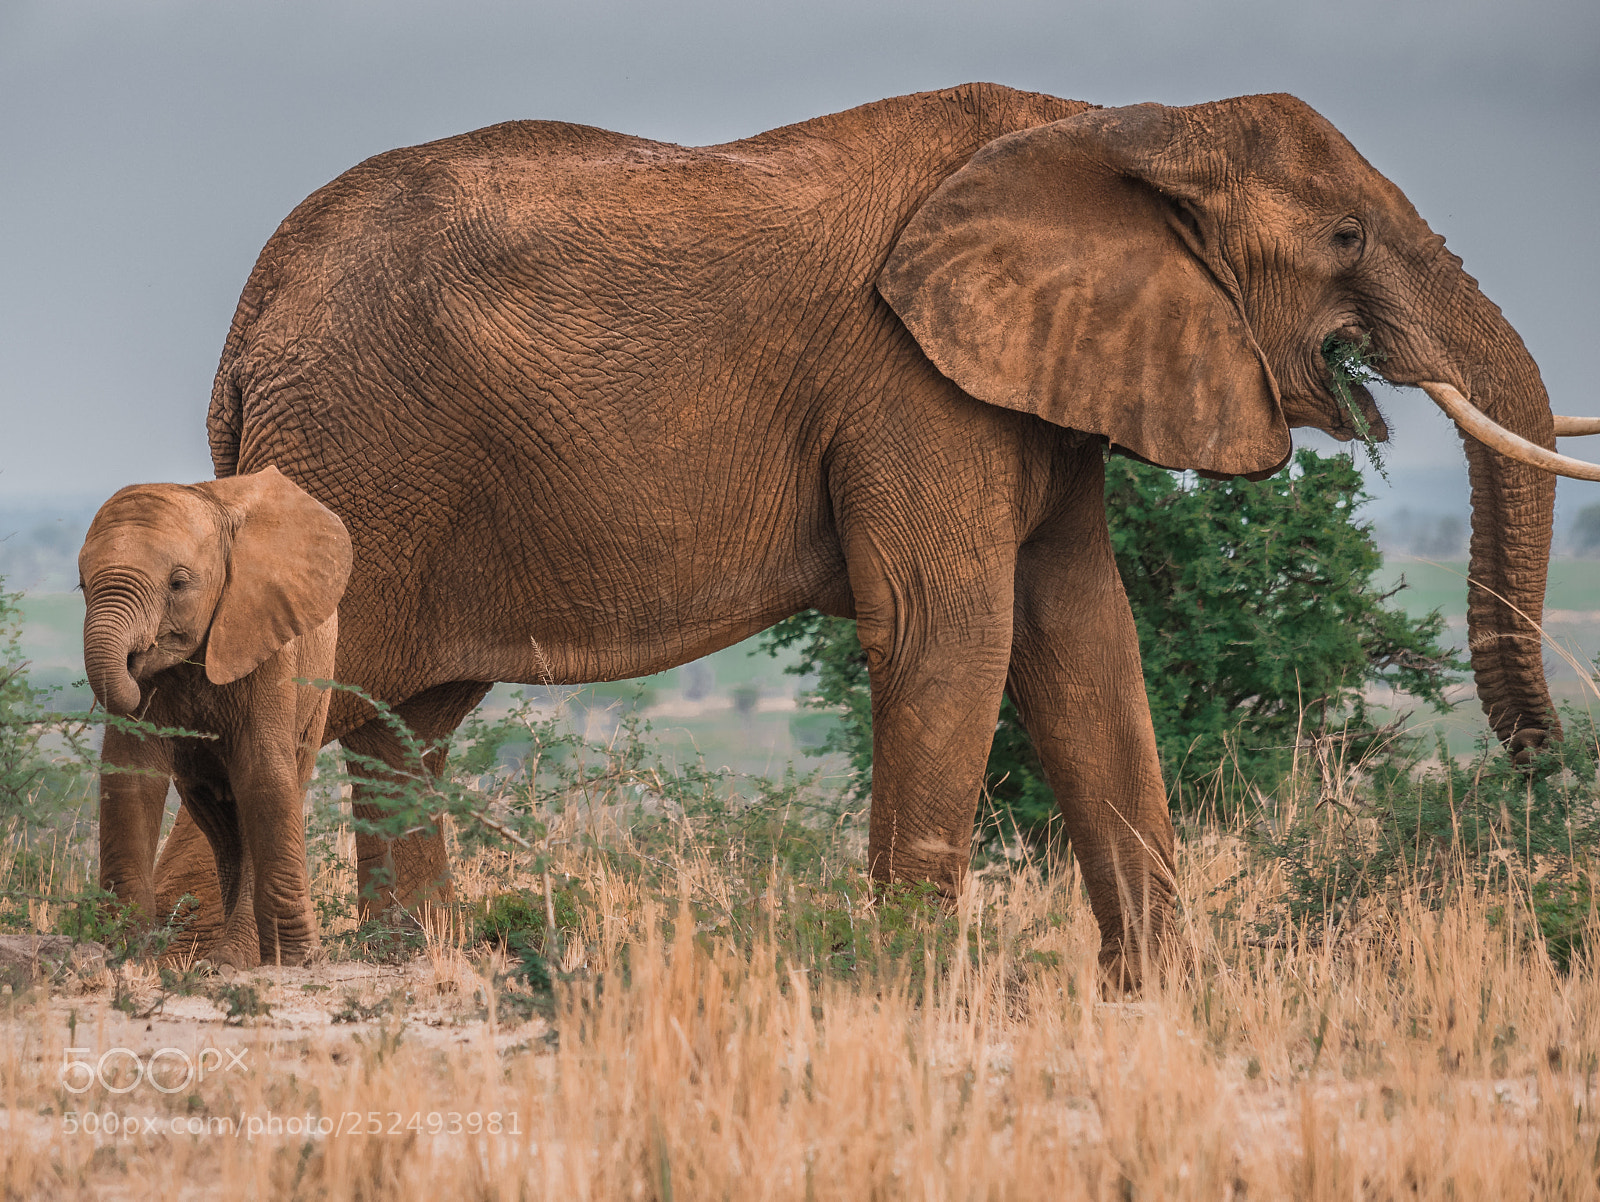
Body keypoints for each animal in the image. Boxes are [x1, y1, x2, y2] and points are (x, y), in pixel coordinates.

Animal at [82, 467, 351, 967]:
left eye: (178, 584)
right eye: (83, 586)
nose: (132, 659)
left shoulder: (267, 640)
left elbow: (264, 777)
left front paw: (299, 960)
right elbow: (132, 776)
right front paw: (126, 955)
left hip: (319, 684)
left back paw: (234, 960)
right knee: (222, 823)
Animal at [147, 83, 1599, 984]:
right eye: (1345, 234)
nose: (1540, 766)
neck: (1112, 122)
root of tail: (243, 330)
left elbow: (1087, 645)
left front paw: (1159, 1000)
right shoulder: (910, 382)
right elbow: (953, 632)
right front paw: (908, 985)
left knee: (404, 725)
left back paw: (404, 965)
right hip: (358, 460)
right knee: (294, 704)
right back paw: (188, 963)